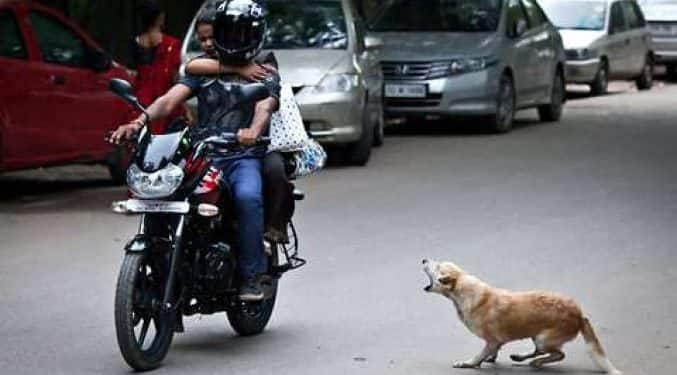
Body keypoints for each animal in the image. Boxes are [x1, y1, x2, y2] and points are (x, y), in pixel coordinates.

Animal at [422, 260, 624, 374]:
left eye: (437, 266)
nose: (424, 259)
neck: (462, 288)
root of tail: (579, 314)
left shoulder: (491, 340)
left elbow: (478, 355)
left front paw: (468, 363)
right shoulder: (495, 342)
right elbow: (492, 351)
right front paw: (490, 358)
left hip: (544, 338)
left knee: (558, 354)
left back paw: (536, 362)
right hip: (538, 337)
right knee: (542, 351)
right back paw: (521, 357)